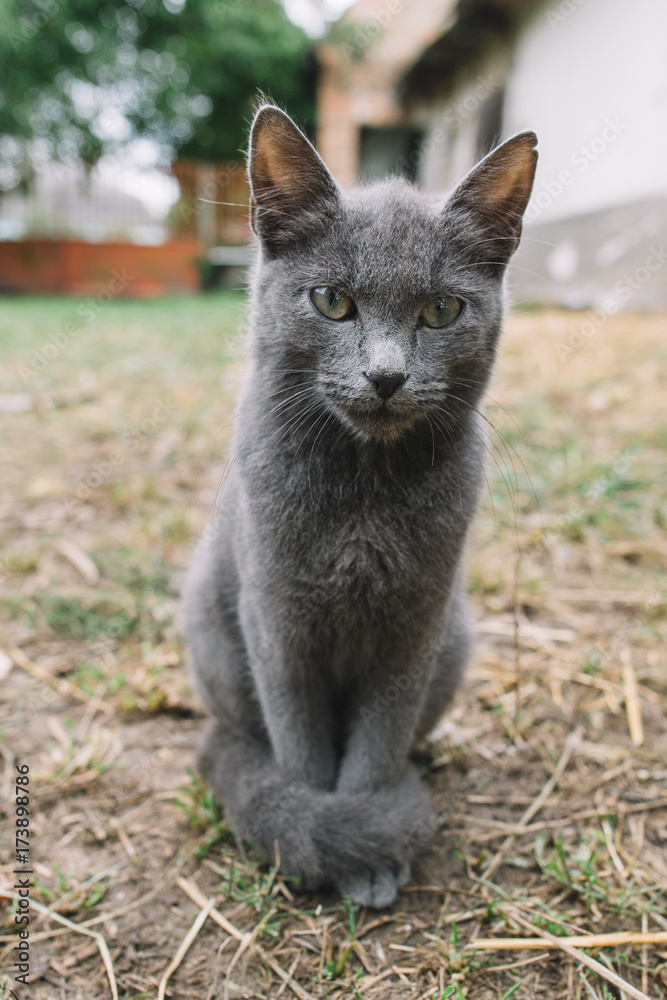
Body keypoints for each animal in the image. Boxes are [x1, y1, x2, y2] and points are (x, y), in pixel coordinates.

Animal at [184, 103, 536, 908]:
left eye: (441, 309)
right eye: (331, 301)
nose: (385, 375)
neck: (363, 500)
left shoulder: (415, 630)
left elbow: (377, 744)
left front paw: (369, 841)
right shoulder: (278, 627)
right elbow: (302, 747)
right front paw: (316, 833)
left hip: (456, 638)